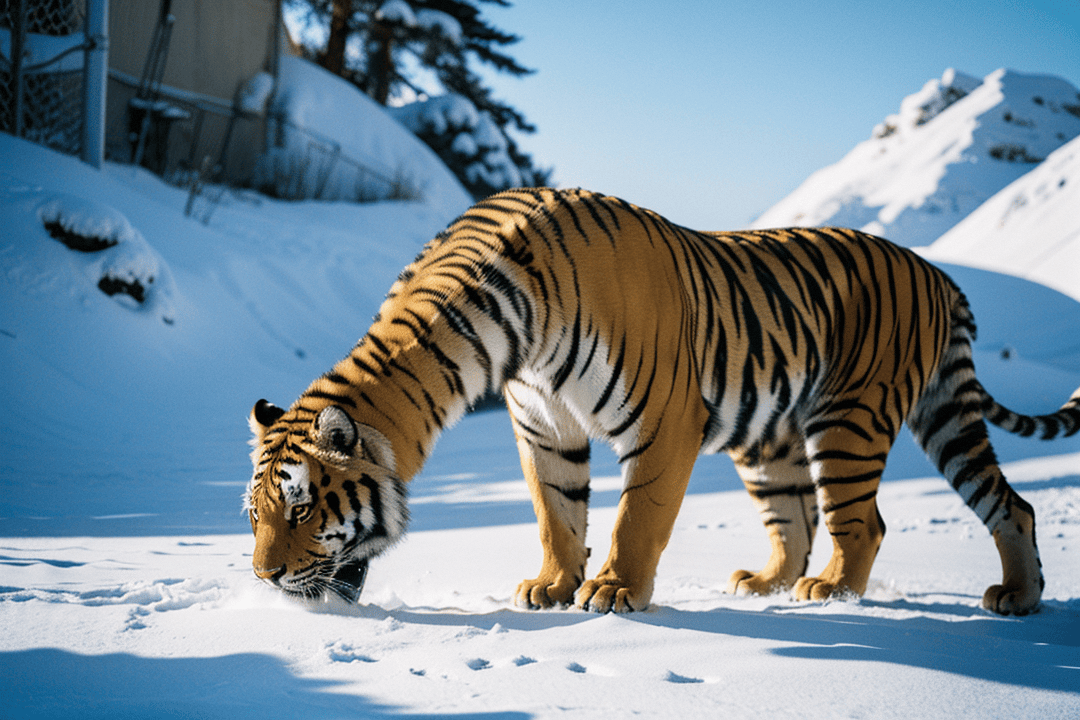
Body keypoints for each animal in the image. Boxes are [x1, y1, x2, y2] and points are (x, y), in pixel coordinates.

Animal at [245, 185, 1080, 613]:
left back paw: (830, 589)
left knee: (861, 521)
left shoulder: (663, 418)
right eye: (254, 516)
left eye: (303, 509)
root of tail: (938, 272)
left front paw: (613, 591)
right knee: (998, 504)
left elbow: (636, 518)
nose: (264, 579)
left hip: (852, 416)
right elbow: (557, 514)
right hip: (824, 432)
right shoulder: (543, 425)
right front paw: (552, 586)